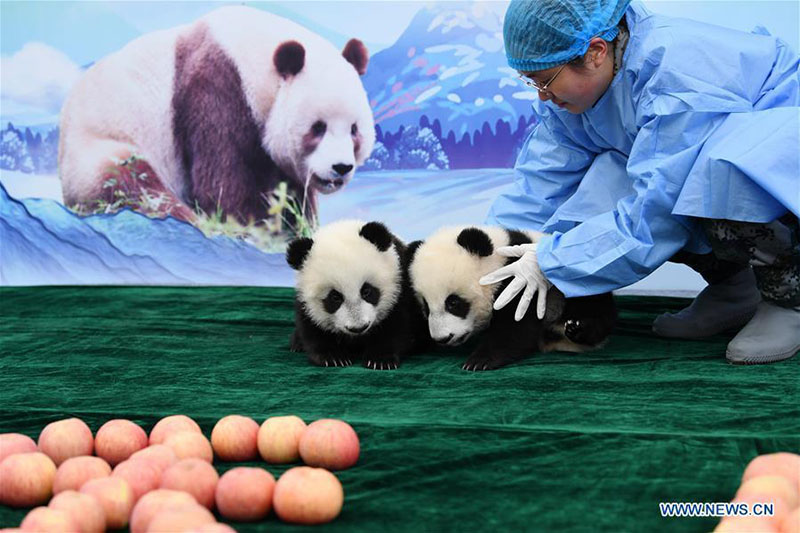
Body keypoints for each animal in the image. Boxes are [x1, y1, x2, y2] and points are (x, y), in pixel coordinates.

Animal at [59, 5, 375, 224]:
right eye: (318, 127)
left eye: (354, 130)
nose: (341, 167)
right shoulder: (217, 88)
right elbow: (223, 184)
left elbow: (291, 192)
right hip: (99, 148)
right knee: (133, 185)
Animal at [286, 220, 429, 370]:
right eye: (335, 297)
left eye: (366, 291)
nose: (358, 328)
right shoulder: (305, 301)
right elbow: (312, 328)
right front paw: (334, 357)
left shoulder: (399, 284)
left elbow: (397, 324)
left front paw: (380, 359)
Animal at [407, 226, 617, 371]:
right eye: (426, 306)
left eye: (453, 302)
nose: (442, 338)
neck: (498, 261)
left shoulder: (518, 283)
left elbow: (515, 327)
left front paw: (480, 361)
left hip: (570, 287)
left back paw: (578, 329)